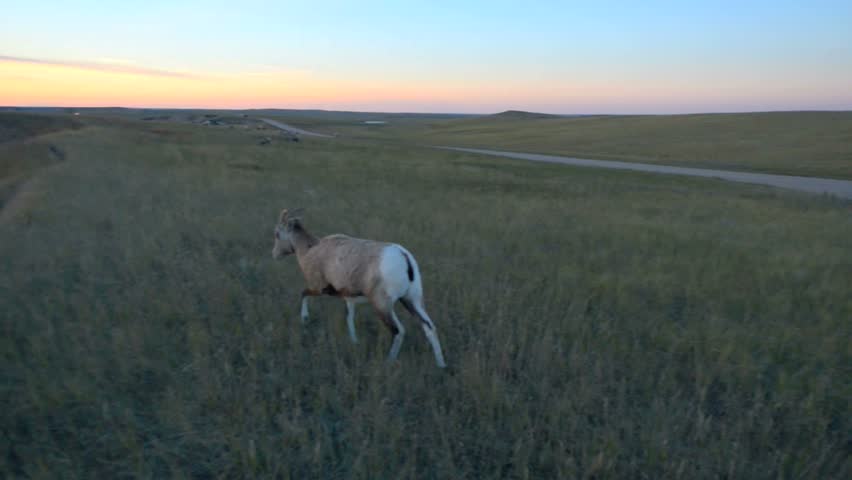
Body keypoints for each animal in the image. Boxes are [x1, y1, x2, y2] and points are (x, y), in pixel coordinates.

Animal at [272, 208, 447, 368]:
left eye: (277, 233)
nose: (274, 255)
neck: (310, 250)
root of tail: (404, 257)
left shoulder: (319, 288)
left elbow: (303, 294)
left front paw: (305, 319)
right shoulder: (348, 299)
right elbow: (349, 318)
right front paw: (354, 342)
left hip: (383, 306)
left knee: (398, 331)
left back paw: (388, 362)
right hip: (412, 300)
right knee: (429, 328)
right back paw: (441, 365)